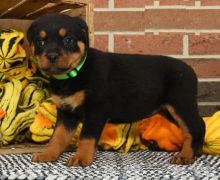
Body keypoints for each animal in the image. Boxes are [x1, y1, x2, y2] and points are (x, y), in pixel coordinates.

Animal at [26, 13, 205, 167]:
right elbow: (58, 137)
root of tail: (190, 70)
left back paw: (185, 155)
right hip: (168, 110)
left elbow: (86, 138)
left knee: (195, 128)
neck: (73, 74)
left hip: (181, 104)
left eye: (68, 39)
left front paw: (81, 158)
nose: (51, 56)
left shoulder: (96, 111)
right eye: (40, 41)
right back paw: (194, 153)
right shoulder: (66, 113)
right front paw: (47, 154)